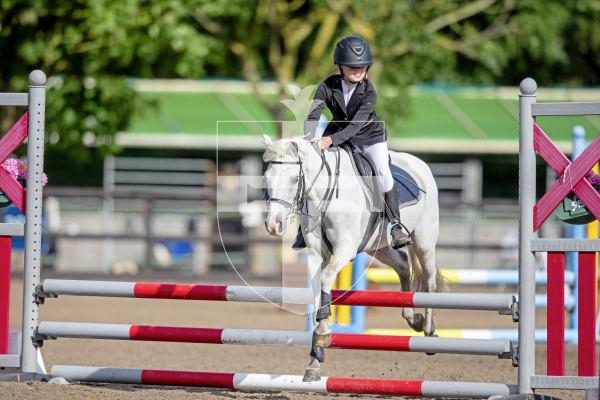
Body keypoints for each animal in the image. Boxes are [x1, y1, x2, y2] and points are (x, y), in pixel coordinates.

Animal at [262, 137, 440, 382]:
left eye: (294, 178)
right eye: (266, 178)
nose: (273, 225)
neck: (324, 193)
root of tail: (420, 164)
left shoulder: (345, 247)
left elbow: (326, 279)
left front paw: (323, 334)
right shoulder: (316, 254)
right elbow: (317, 294)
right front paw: (315, 360)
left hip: (424, 241)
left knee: (429, 280)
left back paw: (429, 330)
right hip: (379, 248)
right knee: (404, 267)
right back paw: (413, 318)